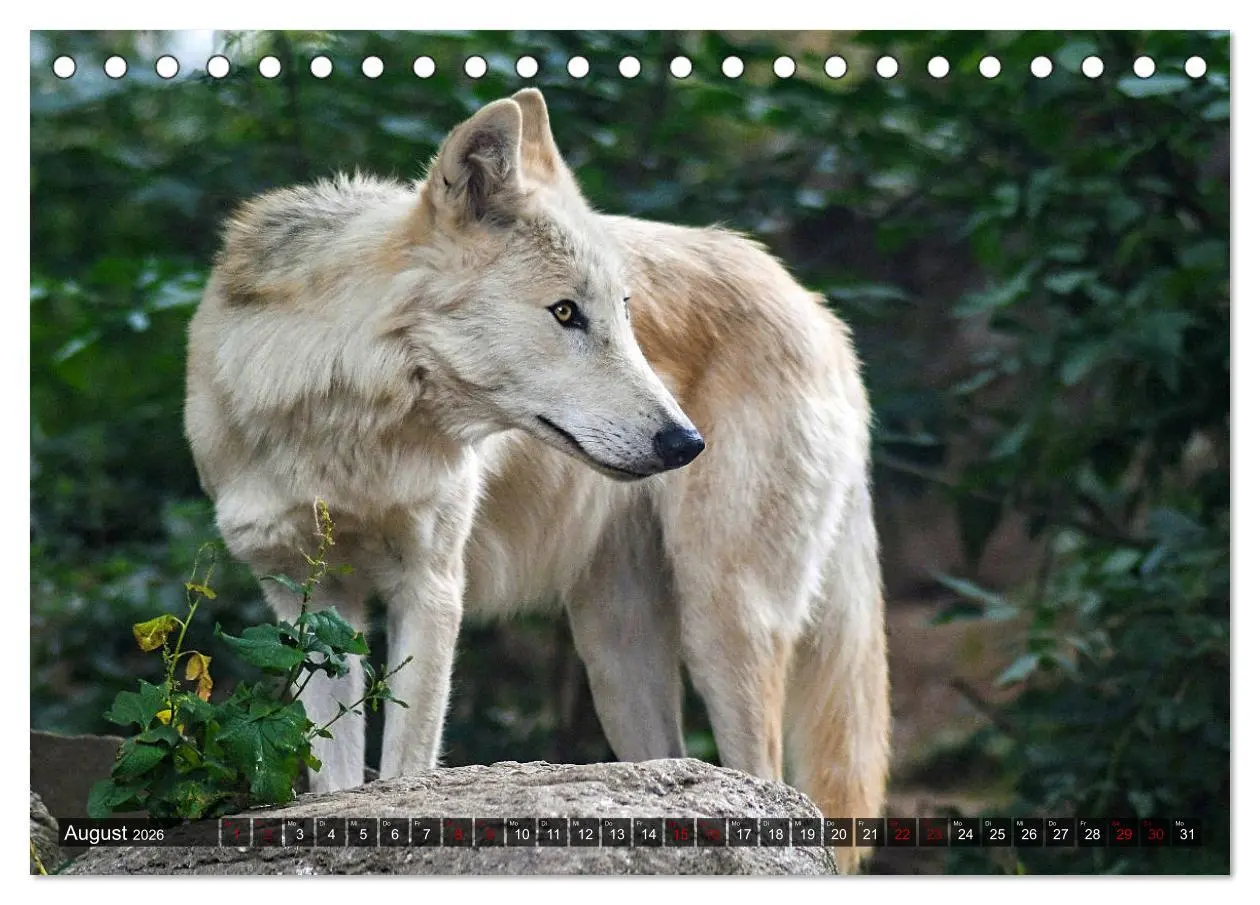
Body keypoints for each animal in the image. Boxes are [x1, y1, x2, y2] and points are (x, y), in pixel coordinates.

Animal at [185, 89, 889, 871]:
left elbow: (404, 768)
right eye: (565, 312)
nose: (686, 443)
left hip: (724, 621)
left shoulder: (432, 588)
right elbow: (332, 781)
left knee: (766, 779)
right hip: (616, 654)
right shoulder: (307, 606)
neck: (343, 422)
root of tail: (818, 310)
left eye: (625, 315)